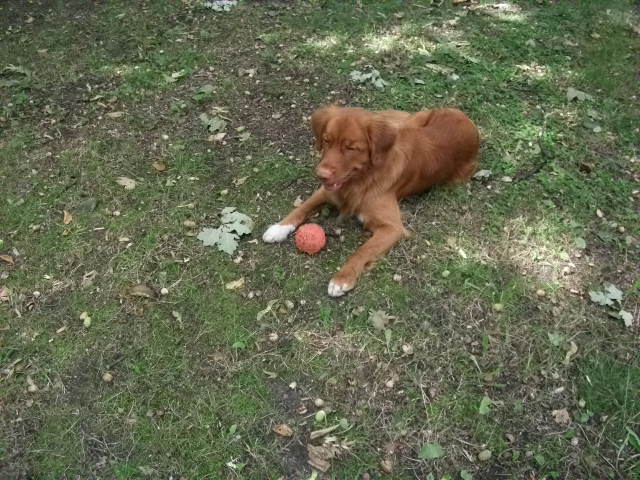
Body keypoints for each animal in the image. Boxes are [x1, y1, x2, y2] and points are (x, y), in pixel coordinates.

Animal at [262, 106, 478, 296]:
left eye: (351, 148)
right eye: (326, 140)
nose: (321, 175)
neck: (362, 179)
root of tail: (468, 121)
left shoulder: (392, 228)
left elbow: (363, 250)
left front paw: (342, 278)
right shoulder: (326, 191)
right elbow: (302, 207)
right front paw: (279, 227)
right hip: (412, 120)